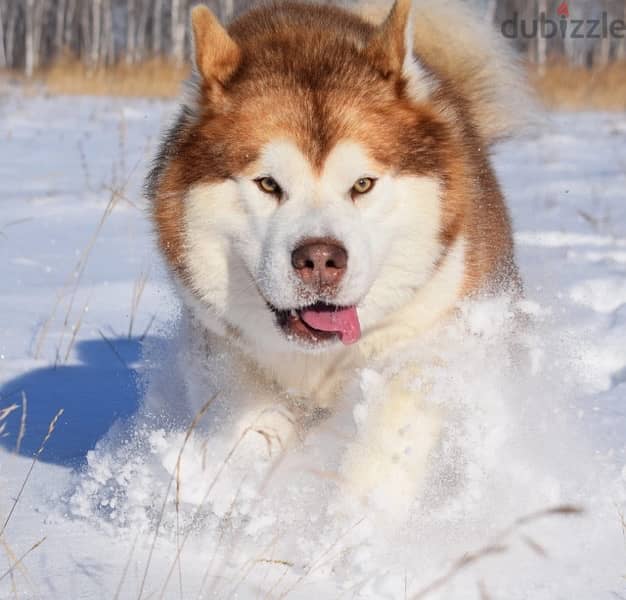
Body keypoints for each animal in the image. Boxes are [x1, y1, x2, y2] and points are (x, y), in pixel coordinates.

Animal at [146, 0, 528, 516]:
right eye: (268, 183)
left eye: (362, 184)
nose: (321, 259)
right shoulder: (225, 346)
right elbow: (253, 429)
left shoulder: (422, 340)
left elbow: (384, 445)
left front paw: (344, 528)